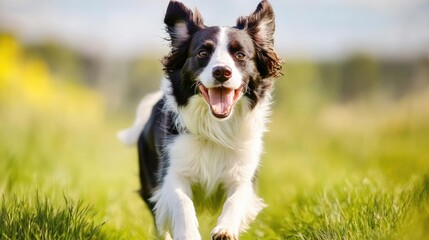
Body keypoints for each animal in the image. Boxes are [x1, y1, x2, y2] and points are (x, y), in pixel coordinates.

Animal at [118, 0, 282, 239]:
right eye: (203, 52)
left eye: (240, 55)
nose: (222, 72)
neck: (215, 126)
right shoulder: (172, 172)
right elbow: (182, 204)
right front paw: (188, 234)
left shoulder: (244, 174)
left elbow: (236, 199)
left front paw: (225, 229)